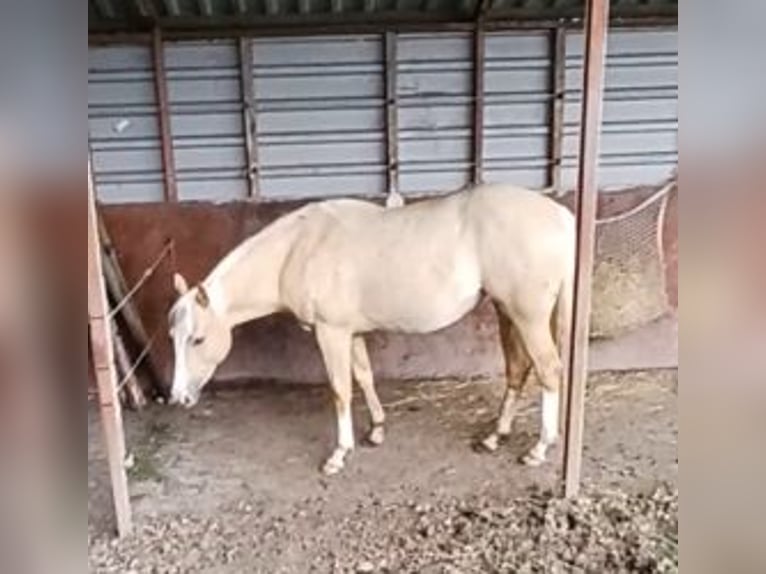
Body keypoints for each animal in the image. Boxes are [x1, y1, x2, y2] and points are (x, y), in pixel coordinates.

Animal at [168, 184, 576, 476]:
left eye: (198, 339)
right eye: (172, 338)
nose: (178, 398)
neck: (298, 249)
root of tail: (562, 216)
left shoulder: (330, 332)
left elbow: (340, 390)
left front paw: (339, 454)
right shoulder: (351, 332)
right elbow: (363, 377)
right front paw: (377, 429)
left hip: (528, 316)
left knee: (549, 370)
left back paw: (539, 448)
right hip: (508, 312)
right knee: (518, 369)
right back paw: (494, 437)